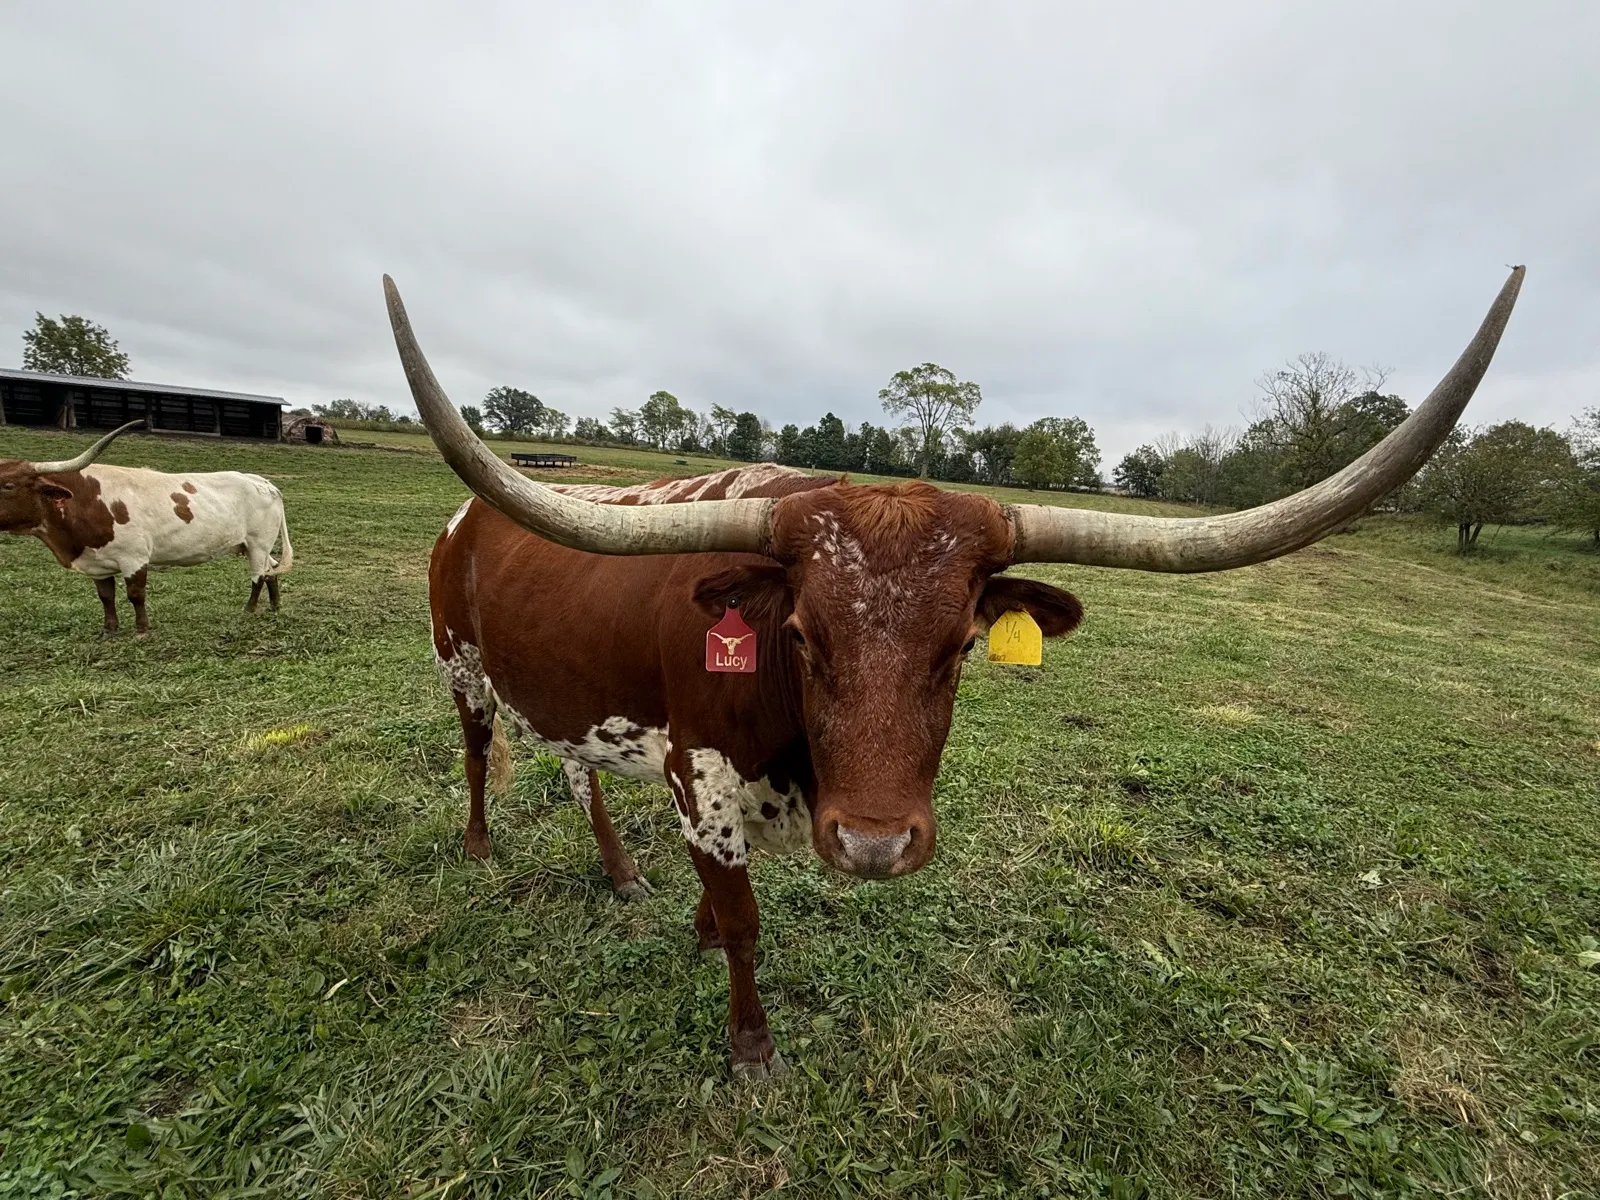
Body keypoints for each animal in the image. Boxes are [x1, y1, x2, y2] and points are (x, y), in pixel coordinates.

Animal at [0, 421, 294, 636]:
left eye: (8, 485)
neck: (84, 499)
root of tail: (264, 483)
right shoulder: (98, 563)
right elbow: (106, 597)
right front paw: (109, 631)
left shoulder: (134, 558)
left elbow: (135, 595)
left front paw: (142, 630)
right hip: (252, 545)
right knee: (271, 571)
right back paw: (275, 606)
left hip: (257, 543)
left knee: (258, 576)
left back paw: (249, 609)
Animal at [386, 267, 1523, 1080]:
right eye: (800, 634)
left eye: (963, 644)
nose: (875, 845)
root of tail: (470, 515)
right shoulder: (697, 778)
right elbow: (747, 922)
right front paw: (750, 1044)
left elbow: (717, 899)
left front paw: (695, 929)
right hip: (459, 668)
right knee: (478, 752)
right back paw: (480, 844)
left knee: (576, 770)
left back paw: (619, 871)